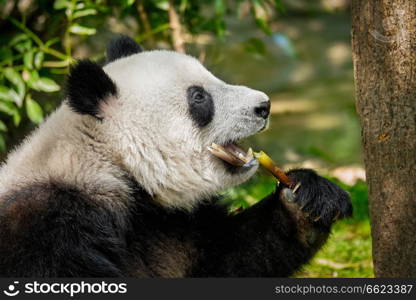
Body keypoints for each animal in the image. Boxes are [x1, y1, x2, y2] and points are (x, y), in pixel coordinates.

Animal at [0, 35, 352, 276]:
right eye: (199, 97)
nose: (263, 106)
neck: (109, 158)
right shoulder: (45, 229)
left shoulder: (171, 223)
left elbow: (231, 257)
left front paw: (307, 198)